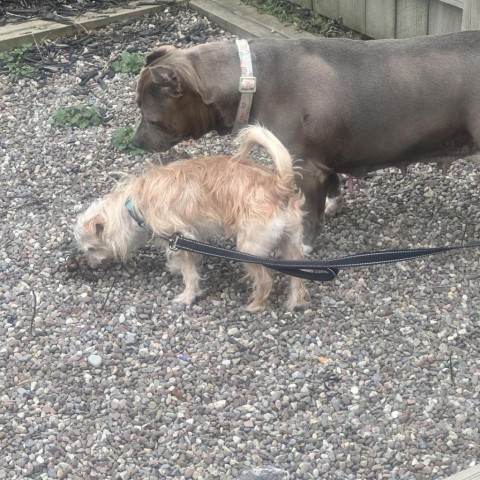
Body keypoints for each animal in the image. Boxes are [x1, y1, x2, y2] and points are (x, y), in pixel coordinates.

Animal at [75, 124, 308, 312]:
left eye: (91, 249)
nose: (91, 266)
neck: (133, 205)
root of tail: (279, 185)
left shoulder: (180, 236)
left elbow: (190, 273)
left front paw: (188, 295)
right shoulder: (191, 237)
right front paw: (174, 267)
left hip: (249, 247)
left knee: (265, 279)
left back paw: (256, 305)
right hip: (290, 242)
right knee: (297, 274)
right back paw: (294, 302)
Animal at [133, 31, 480, 251]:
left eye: (150, 118)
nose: (136, 142)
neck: (250, 79)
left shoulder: (306, 167)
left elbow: (307, 213)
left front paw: (304, 245)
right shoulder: (323, 163)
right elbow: (334, 186)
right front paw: (334, 205)